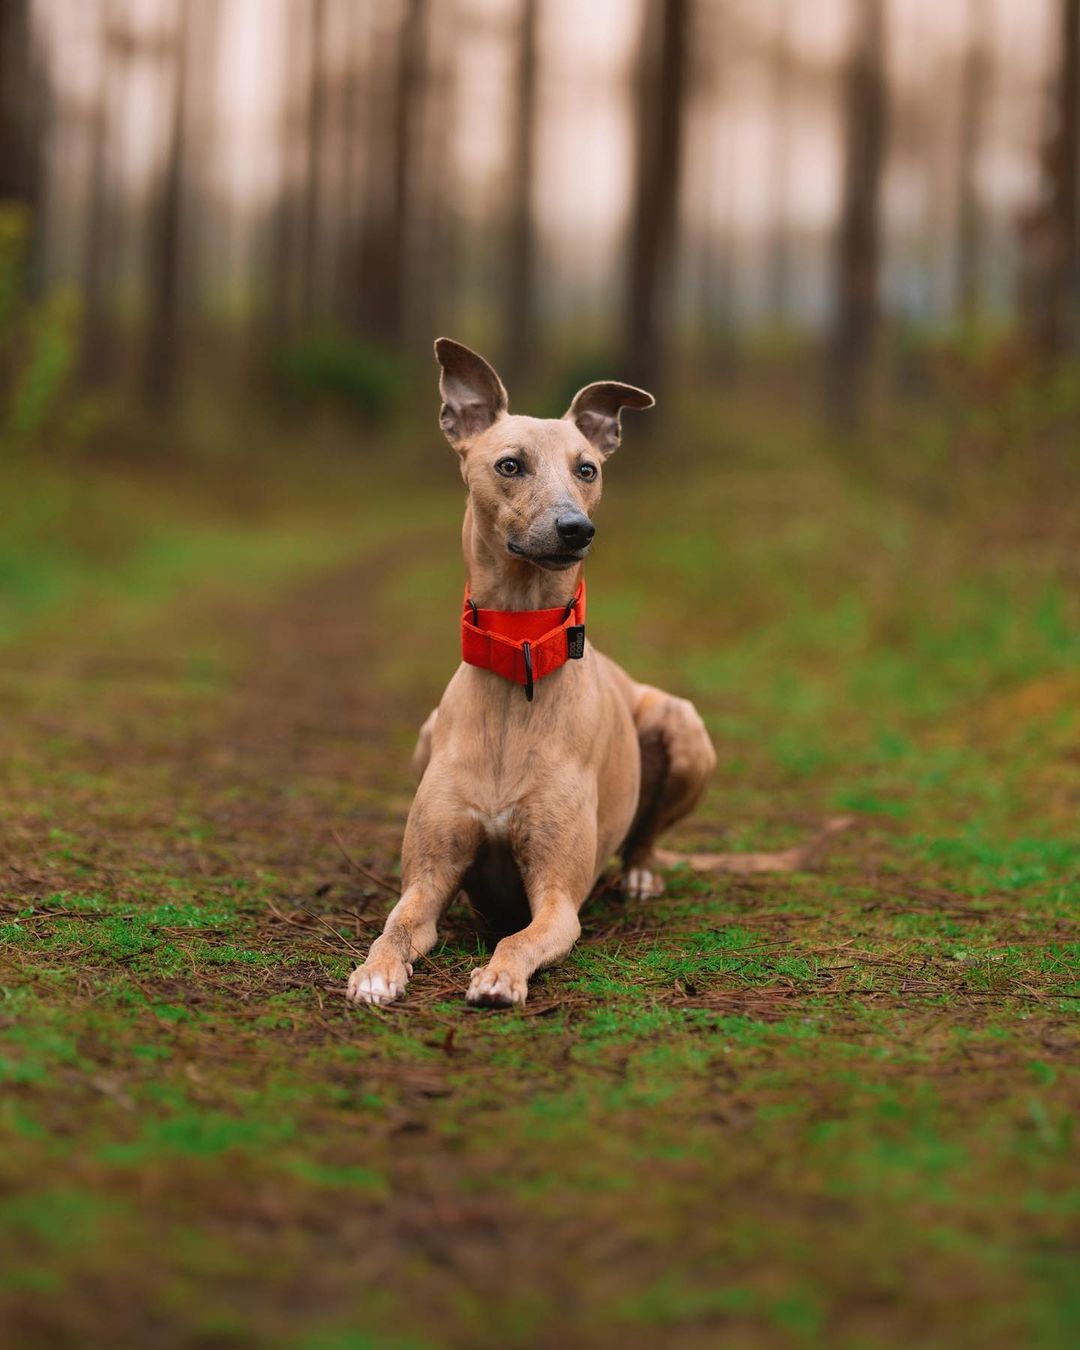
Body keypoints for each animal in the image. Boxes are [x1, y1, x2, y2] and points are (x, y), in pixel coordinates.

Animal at [345, 342, 842, 1009]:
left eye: (587, 470)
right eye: (509, 465)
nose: (576, 529)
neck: (522, 656)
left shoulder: (557, 900)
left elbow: (520, 937)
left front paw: (499, 977)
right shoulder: (428, 879)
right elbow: (396, 926)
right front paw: (375, 972)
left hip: (682, 728)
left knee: (644, 838)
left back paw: (640, 874)